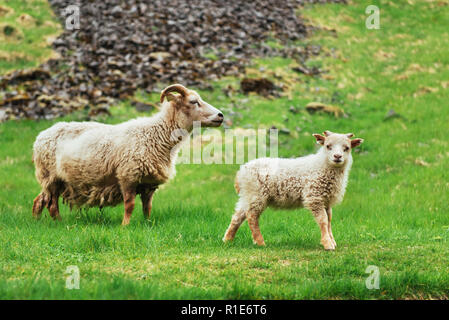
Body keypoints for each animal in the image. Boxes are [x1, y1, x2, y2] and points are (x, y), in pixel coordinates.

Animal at [30, 85, 223, 225]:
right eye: (193, 101)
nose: (220, 115)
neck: (156, 134)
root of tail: (41, 135)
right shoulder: (128, 176)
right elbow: (129, 205)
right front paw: (125, 226)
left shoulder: (149, 183)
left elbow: (147, 207)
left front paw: (148, 224)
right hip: (51, 177)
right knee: (51, 204)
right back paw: (59, 223)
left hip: (57, 180)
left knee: (40, 200)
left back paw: (38, 221)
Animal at [222, 130, 362, 250]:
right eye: (328, 146)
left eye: (347, 148)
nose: (337, 156)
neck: (321, 165)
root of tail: (240, 172)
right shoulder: (314, 197)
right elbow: (323, 221)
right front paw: (328, 244)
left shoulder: (326, 200)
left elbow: (329, 221)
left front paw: (332, 241)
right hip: (256, 194)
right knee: (251, 217)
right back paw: (260, 242)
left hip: (248, 196)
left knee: (238, 216)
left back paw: (228, 239)